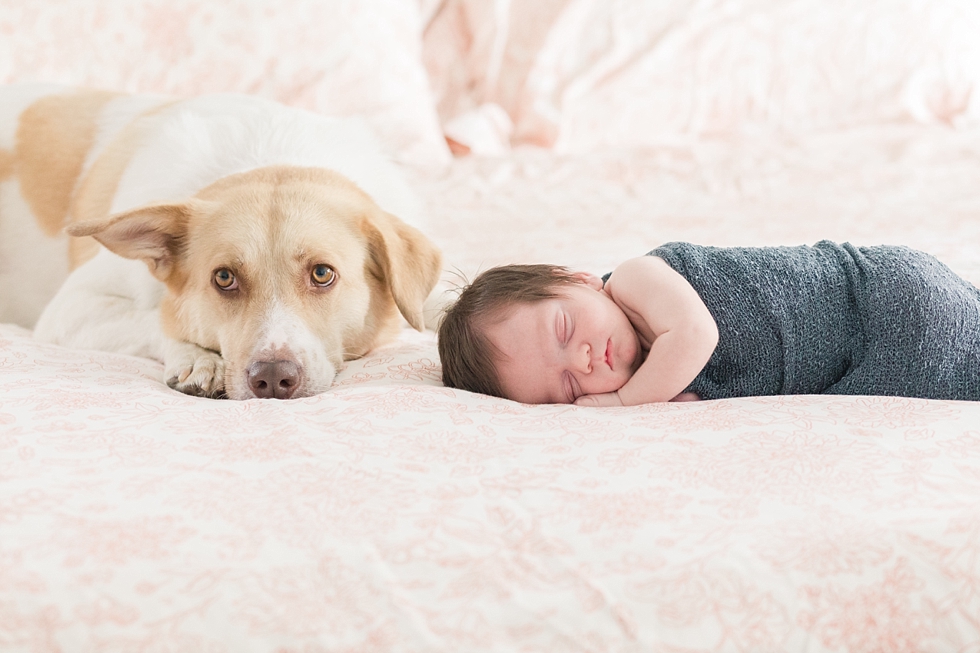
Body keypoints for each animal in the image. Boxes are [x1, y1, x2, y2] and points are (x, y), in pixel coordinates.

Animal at [0, 84, 440, 400]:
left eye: (321, 273)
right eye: (224, 278)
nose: (273, 379)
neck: (267, 156)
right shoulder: (71, 308)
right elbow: (157, 318)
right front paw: (198, 358)